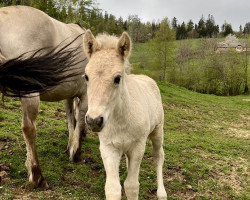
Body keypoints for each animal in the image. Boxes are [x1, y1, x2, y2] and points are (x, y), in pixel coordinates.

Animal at [0, 5, 88, 188]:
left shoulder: (68, 96)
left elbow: (71, 120)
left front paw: (70, 147)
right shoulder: (85, 95)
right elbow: (80, 121)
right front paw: (76, 153)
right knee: (29, 128)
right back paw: (37, 176)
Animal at [83, 30, 167, 200]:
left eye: (117, 78)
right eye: (86, 76)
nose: (94, 121)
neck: (120, 120)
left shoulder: (138, 146)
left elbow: (132, 186)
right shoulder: (108, 148)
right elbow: (113, 188)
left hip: (157, 130)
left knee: (158, 156)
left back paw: (162, 193)